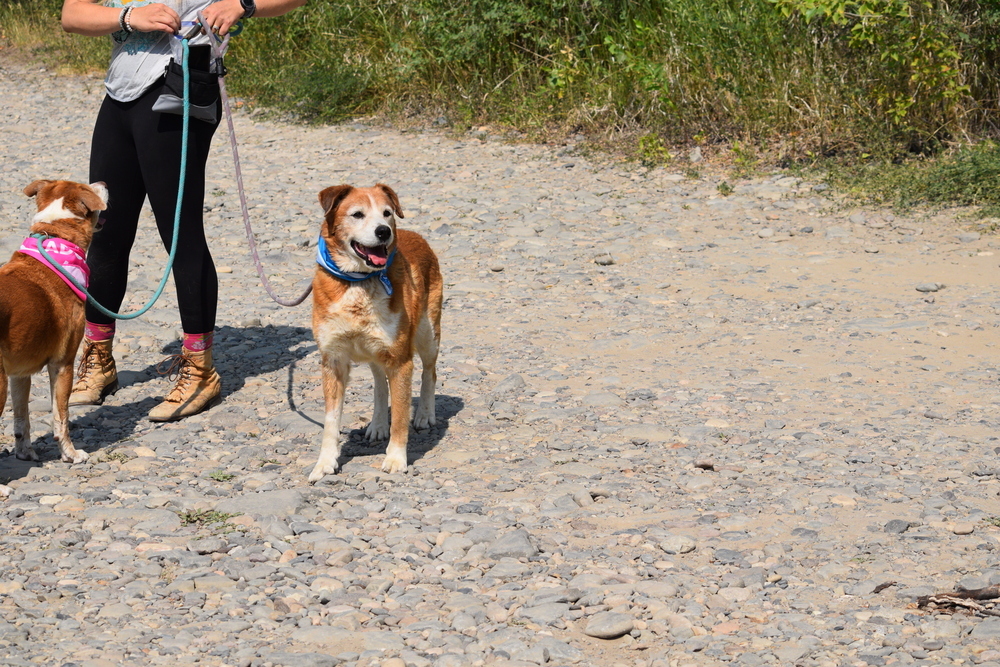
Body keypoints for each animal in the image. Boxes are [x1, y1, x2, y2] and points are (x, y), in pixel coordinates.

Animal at [0, 180, 107, 494]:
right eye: (89, 187)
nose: (103, 182)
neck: (55, 242)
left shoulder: (19, 373)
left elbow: (21, 419)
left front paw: (24, 453)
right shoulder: (63, 364)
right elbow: (61, 418)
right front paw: (70, 455)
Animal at [308, 185, 442, 482]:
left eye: (387, 213)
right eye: (357, 214)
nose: (384, 231)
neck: (358, 282)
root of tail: (415, 235)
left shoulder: (401, 360)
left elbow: (401, 416)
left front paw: (396, 459)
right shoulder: (332, 361)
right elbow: (331, 421)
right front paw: (324, 463)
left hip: (427, 335)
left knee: (430, 373)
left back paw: (425, 414)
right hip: (377, 352)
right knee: (380, 382)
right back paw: (378, 423)